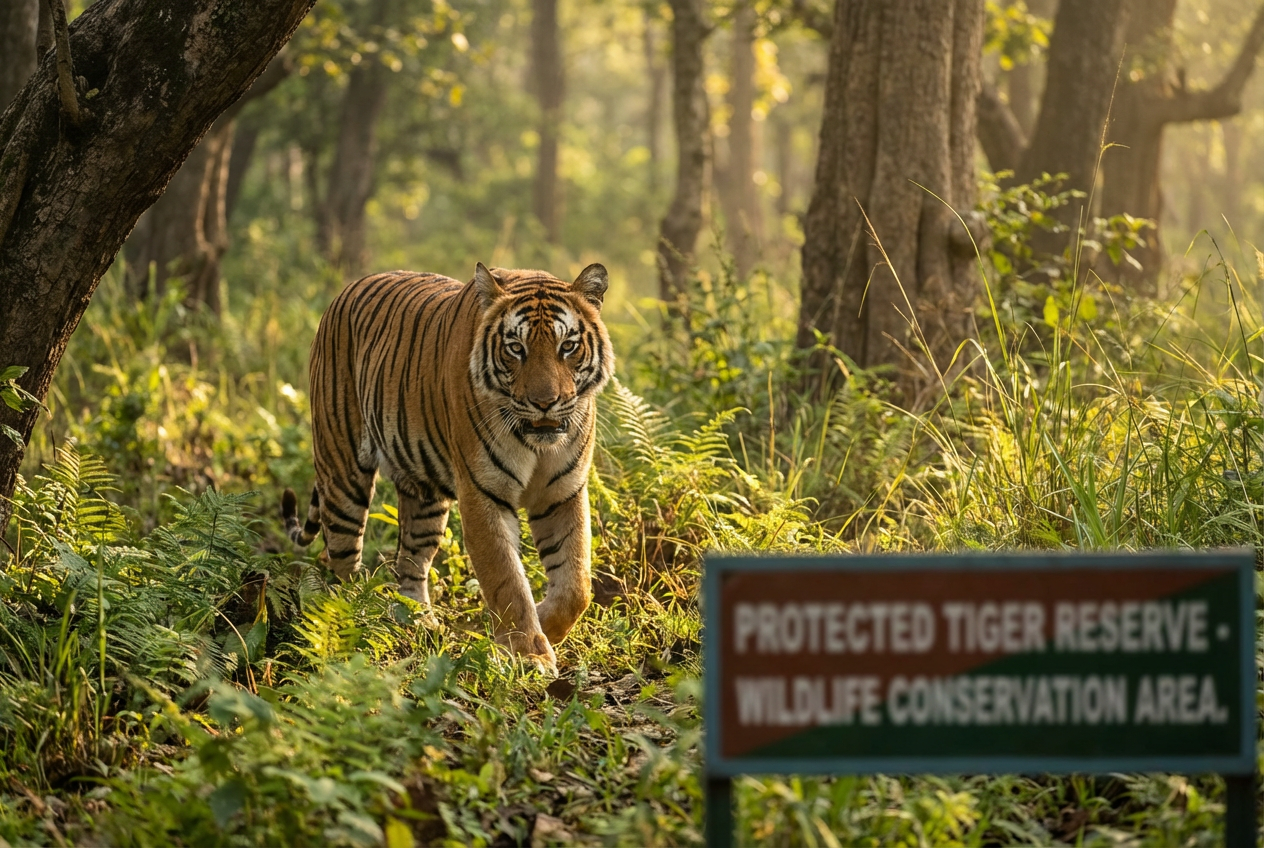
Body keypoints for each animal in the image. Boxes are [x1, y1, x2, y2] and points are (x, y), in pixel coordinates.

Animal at [281, 262, 614, 673]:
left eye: (567, 346)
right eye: (515, 349)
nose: (544, 403)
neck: (538, 443)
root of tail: (348, 289)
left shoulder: (562, 492)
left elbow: (576, 584)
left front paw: (544, 627)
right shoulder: (482, 493)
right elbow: (506, 579)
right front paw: (529, 654)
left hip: (424, 497)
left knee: (410, 561)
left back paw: (418, 623)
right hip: (342, 473)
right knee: (341, 564)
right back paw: (352, 626)